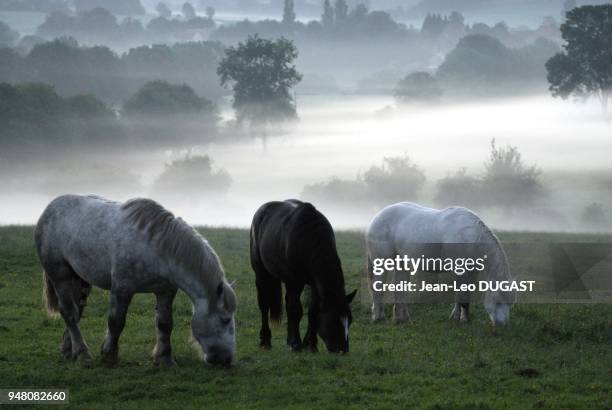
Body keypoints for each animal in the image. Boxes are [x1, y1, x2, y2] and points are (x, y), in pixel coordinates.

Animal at [34, 195, 238, 366]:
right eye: (225, 319)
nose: (226, 359)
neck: (157, 248)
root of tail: (49, 209)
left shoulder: (165, 291)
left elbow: (165, 324)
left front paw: (164, 359)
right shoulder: (122, 289)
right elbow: (116, 322)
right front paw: (109, 355)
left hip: (80, 279)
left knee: (76, 311)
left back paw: (69, 350)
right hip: (60, 275)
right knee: (68, 311)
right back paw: (82, 353)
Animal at [250, 199, 356, 352]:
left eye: (350, 320)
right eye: (334, 319)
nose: (343, 350)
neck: (309, 238)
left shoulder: (315, 283)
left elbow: (313, 311)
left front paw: (311, 344)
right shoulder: (295, 281)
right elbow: (296, 310)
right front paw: (296, 343)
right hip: (261, 274)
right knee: (264, 305)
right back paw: (266, 341)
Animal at [366, 203, 512, 326]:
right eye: (499, 300)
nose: (501, 324)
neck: (469, 235)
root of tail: (376, 218)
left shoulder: (471, 272)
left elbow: (464, 295)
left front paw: (462, 318)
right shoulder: (459, 271)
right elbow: (461, 296)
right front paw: (459, 319)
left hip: (401, 263)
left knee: (399, 289)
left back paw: (402, 319)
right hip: (382, 262)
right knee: (378, 287)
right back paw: (379, 317)